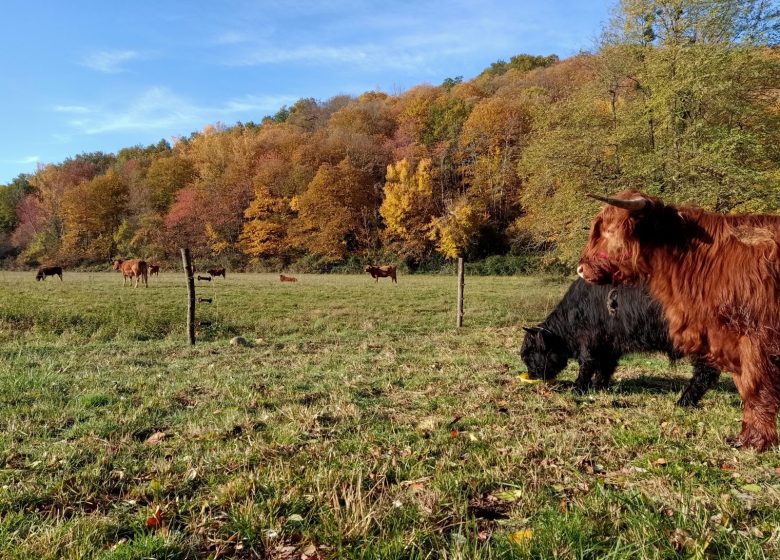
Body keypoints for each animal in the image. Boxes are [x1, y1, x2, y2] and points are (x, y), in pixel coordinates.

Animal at [516, 280, 720, 406]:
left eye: (529, 356)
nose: (532, 374)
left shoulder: (588, 342)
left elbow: (586, 366)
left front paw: (578, 388)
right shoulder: (608, 346)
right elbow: (605, 368)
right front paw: (599, 387)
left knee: (705, 373)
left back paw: (684, 401)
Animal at [580, 191, 780, 450]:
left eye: (610, 231)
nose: (581, 268)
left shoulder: (755, 336)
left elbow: (754, 386)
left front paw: (756, 441)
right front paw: (747, 437)